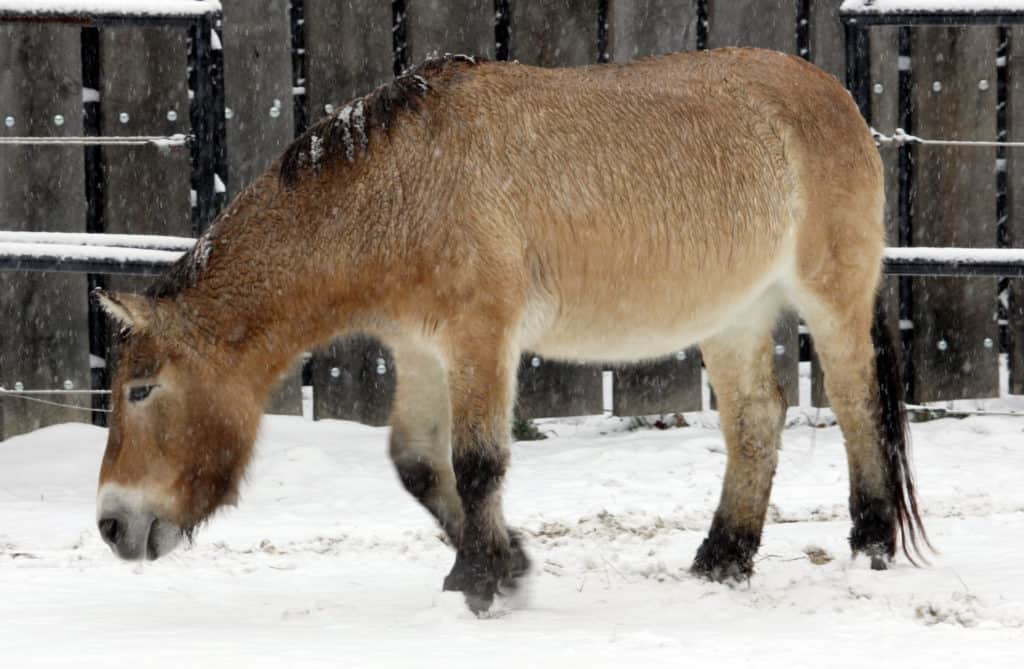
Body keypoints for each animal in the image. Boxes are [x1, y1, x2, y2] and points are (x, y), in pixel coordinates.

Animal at [93, 49, 929, 614]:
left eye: (141, 389)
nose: (110, 525)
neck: (401, 187)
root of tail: (835, 94)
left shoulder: (481, 338)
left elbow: (478, 463)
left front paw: (482, 582)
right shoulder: (421, 350)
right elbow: (418, 465)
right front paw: (507, 562)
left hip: (830, 300)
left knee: (856, 407)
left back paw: (870, 545)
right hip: (735, 315)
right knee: (757, 420)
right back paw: (722, 558)